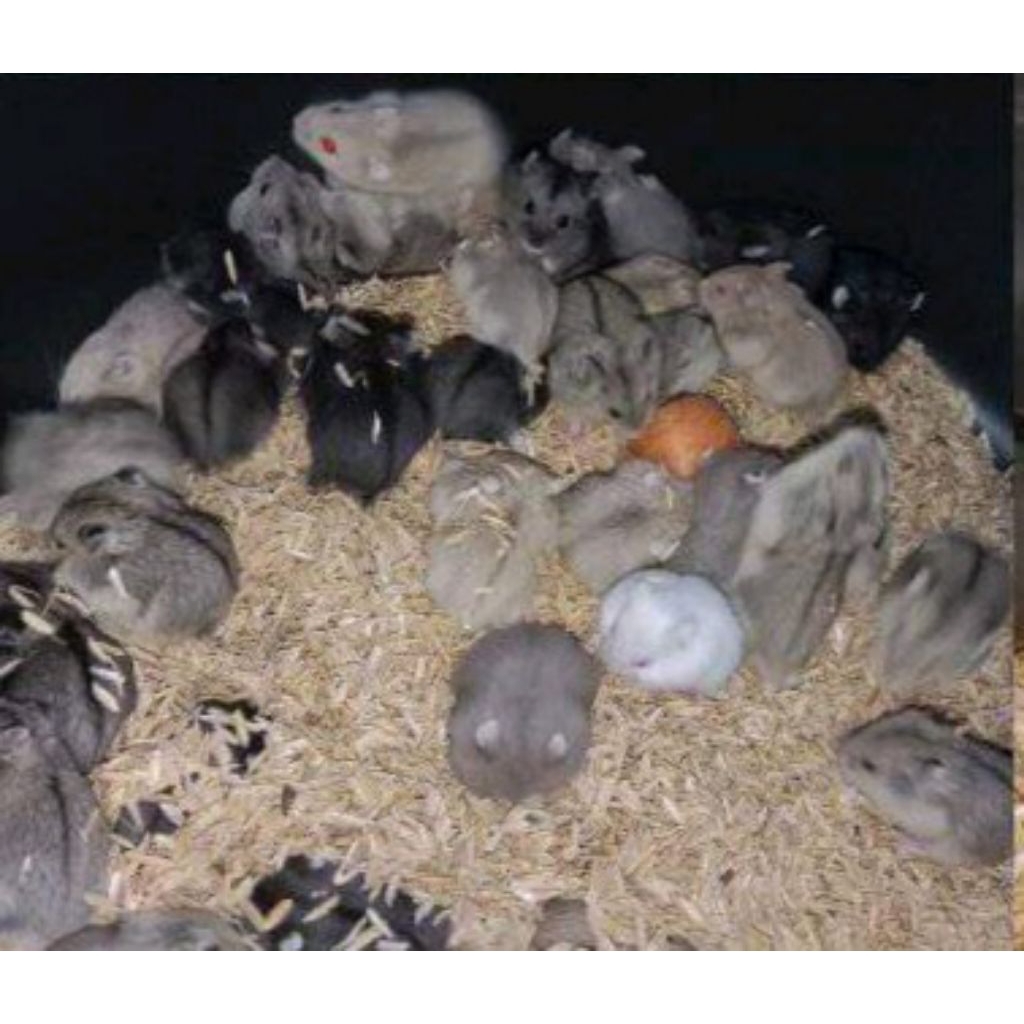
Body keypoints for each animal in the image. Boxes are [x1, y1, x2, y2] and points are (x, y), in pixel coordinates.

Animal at [837, 708, 1012, 868]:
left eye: (869, 765)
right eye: (873, 723)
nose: (840, 748)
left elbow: (868, 801)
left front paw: (847, 795)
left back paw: (904, 844)